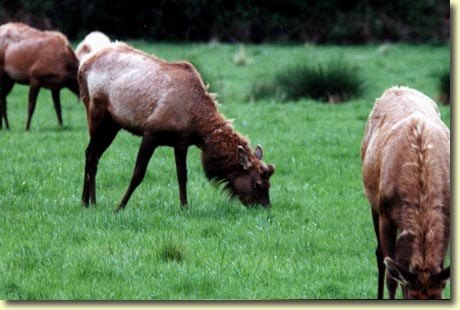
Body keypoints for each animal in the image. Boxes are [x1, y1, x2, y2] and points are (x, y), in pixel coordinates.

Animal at [77, 42, 274, 212]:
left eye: (269, 184)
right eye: (257, 184)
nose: (266, 208)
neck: (198, 131)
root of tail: (82, 66)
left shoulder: (181, 143)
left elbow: (182, 176)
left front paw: (184, 207)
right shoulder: (151, 133)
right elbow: (138, 174)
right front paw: (119, 206)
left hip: (113, 125)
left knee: (93, 154)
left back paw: (87, 201)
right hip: (96, 115)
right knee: (91, 154)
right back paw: (89, 202)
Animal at [362, 86, 452, 300]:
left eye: (439, 296)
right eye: (413, 297)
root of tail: (396, 88)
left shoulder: (448, 214)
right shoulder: (385, 214)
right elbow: (392, 277)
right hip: (374, 203)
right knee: (380, 255)